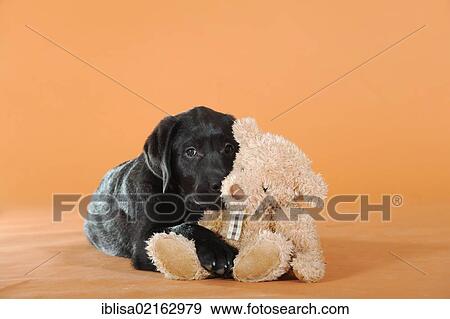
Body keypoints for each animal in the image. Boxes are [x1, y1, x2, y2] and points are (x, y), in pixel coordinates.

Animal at [84, 106, 239, 276]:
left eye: (228, 148)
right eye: (190, 152)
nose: (224, 185)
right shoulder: (145, 242)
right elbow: (184, 227)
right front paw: (218, 250)